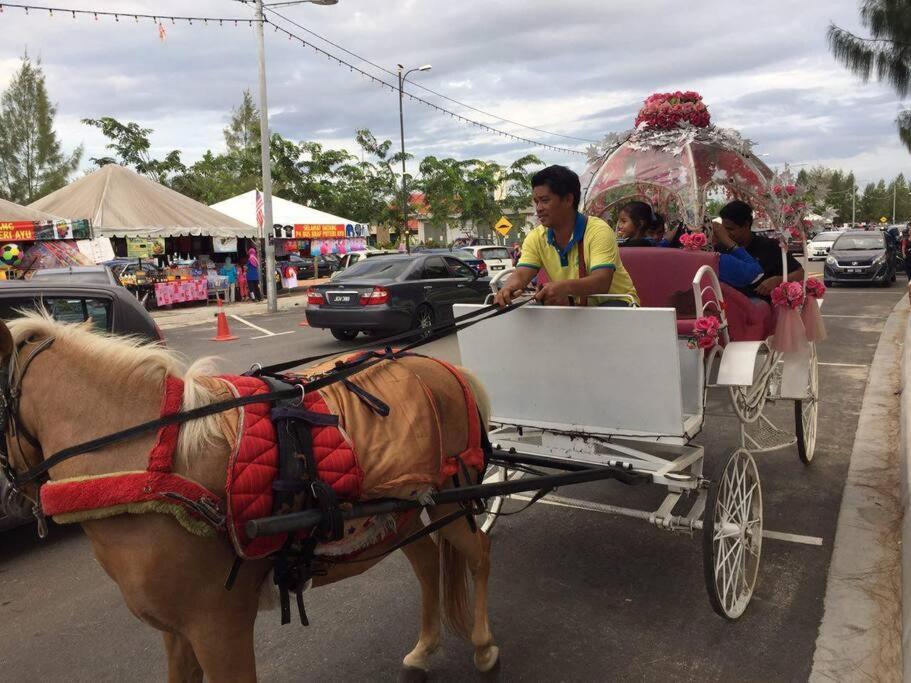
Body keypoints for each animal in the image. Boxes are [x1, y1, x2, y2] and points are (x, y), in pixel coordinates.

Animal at [0, 312, 498, 680]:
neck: (151, 465)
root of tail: (444, 367)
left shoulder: (219, 627)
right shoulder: (177, 632)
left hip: (452, 494)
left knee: (478, 553)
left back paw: (484, 646)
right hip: (405, 509)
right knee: (428, 566)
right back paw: (425, 648)